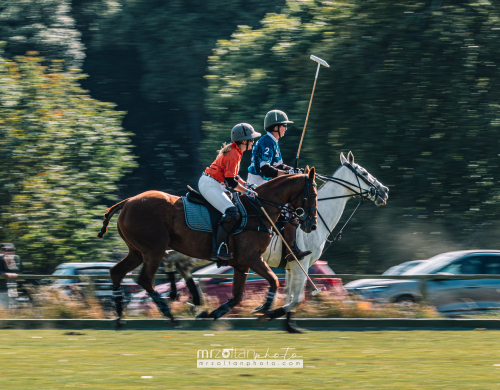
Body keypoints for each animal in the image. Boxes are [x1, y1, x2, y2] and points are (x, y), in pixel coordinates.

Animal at [97, 169, 316, 324]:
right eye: (312, 194)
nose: (311, 225)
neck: (259, 210)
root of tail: (127, 202)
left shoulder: (241, 263)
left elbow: (237, 296)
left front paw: (209, 314)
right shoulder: (251, 258)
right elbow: (274, 281)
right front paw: (264, 309)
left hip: (137, 251)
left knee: (117, 272)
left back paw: (119, 316)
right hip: (153, 250)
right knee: (145, 278)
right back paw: (168, 313)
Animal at [160, 152, 386, 332]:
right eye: (364, 173)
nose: (384, 191)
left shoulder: (291, 266)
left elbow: (290, 296)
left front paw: (289, 325)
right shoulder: (301, 263)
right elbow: (297, 299)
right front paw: (267, 313)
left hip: (196, 251)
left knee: (174, 260)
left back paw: (188, 302)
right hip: (198, 249)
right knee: (173, 259)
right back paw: (179, 300)